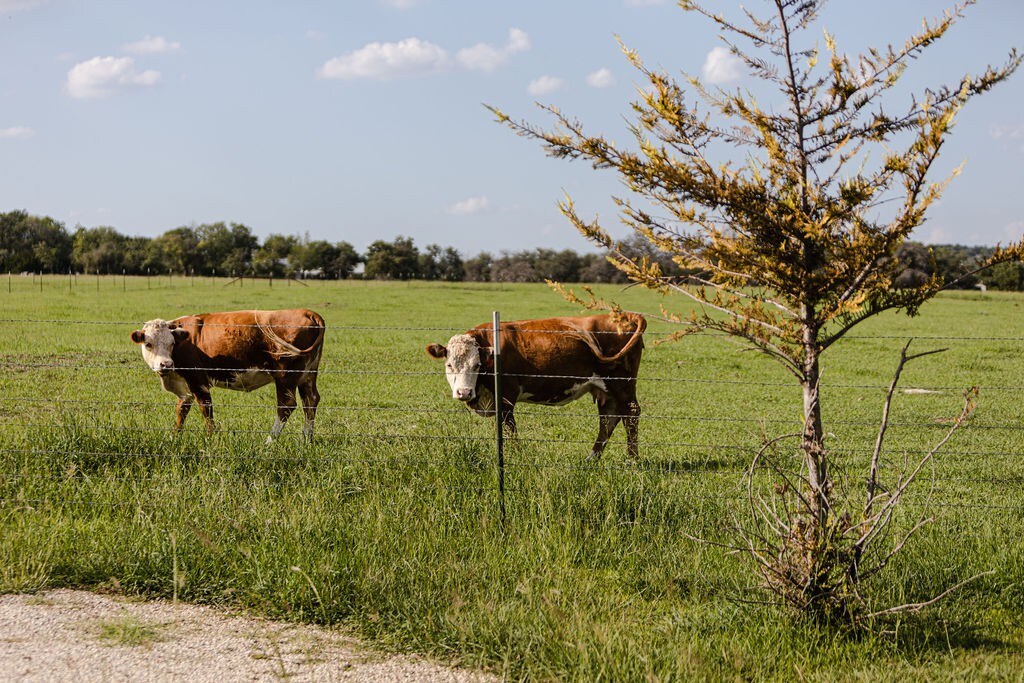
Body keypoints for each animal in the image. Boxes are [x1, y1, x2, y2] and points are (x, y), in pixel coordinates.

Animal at [130, 309, 323, 444]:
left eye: (171, 343)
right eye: (148, 344)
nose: (166, 364)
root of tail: (307, 311)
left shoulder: (198, 381)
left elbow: (206, 409)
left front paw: (210, 438)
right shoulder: (184, 386)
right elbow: (181, 411)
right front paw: (174, 436)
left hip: (285, 376)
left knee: (286, 405)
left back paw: (269, 441)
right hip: (307, 376)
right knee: (310, 400)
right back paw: (307, 439)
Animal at [428, 313, 643, 458]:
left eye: (477, 365)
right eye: (449, 365)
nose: (464, 392)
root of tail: (625, 315)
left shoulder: (506, 397)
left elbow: (508, 429)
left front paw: (515, 456)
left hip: (623, 385)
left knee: (630, 415)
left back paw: (632, 461)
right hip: (606, 390)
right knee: (609, 418)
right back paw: (591, 459)